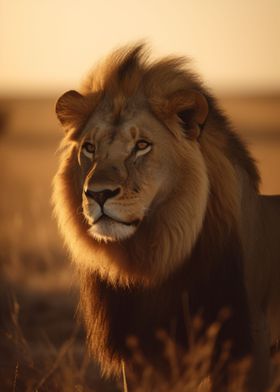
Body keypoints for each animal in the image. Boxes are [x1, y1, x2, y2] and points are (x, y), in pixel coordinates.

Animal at [52, 44, 280, 390]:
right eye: (89, 147)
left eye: (142, 145)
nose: (98, 194)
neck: (154, 265)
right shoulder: (139, 358)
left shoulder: (248, 348)